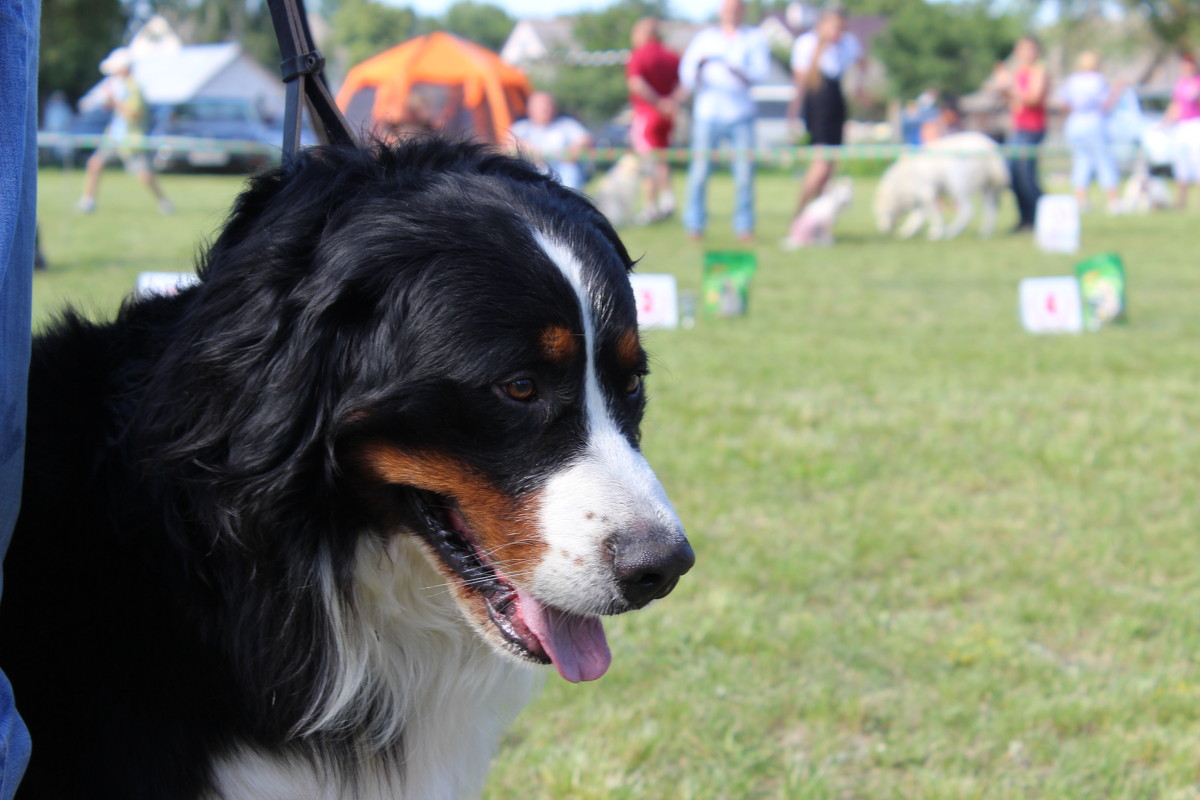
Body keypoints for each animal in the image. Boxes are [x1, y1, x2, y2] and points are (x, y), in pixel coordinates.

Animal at [878, 131, 1008, 241]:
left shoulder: (926, 193)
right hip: (987, 190)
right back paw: (984, 233)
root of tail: (990, 147)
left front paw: (936, 232)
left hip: (957, 184)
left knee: (968, 212)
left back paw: (951, 231)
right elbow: (917, 218)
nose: (883, 229)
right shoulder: (924, 198)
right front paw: (907, 231)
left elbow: (933, 216)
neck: (899, 183)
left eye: (881, 213)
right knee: (990, 211)